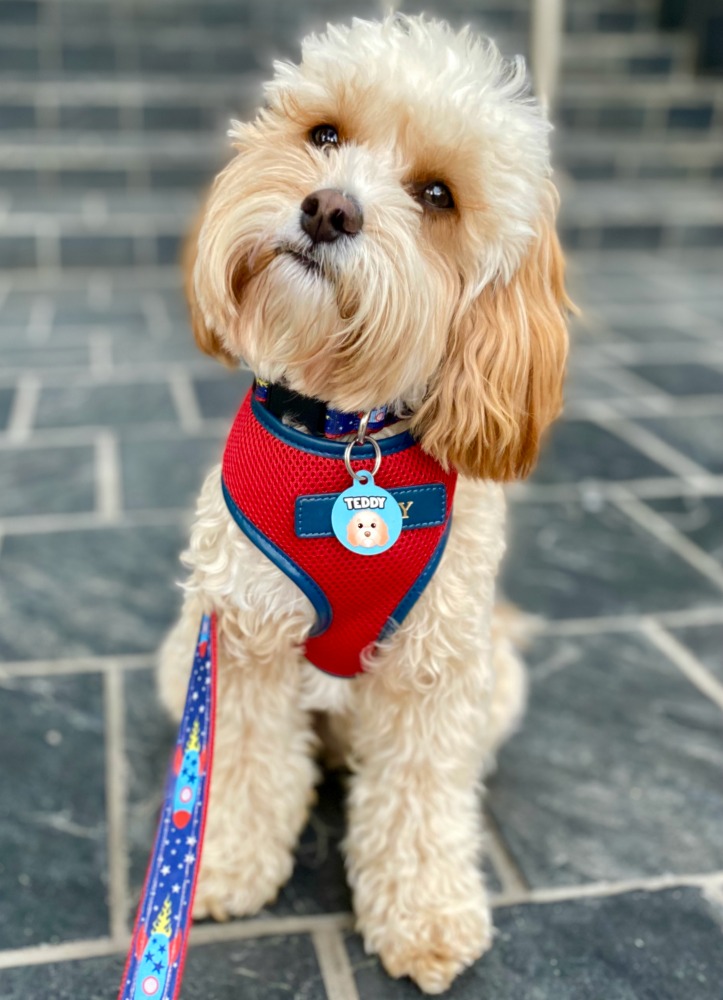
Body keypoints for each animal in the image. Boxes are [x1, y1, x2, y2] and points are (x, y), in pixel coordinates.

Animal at [160, 13, 572, 992]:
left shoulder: (434, 667)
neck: (346, 436)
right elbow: (237, 767)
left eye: (437, 195)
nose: (327, 210)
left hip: (495, 682)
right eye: (324, 135)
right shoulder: (239, 637)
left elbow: (420, 800)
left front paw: (424, 917)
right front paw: (218, 861)